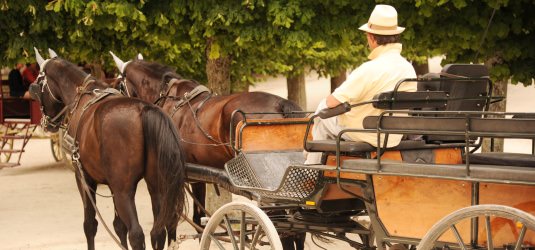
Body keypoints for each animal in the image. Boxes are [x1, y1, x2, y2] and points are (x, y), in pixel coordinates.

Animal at [30, 49, 188, 250]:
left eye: (37, 84)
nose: (46, 123)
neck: (82, 96)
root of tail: (144, 109)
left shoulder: (83, 178)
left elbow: (90, 225)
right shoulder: (113, 184)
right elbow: (119, 226)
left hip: (124, 192)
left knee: (137, 234)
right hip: (157, 186)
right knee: (157, 232)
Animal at [110, 53, 306, 249]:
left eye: (119, 83)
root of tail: (281, 103)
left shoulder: (173, 177)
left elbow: (174, 219)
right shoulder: (195, 179)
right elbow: (196, 218)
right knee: (297, 231)